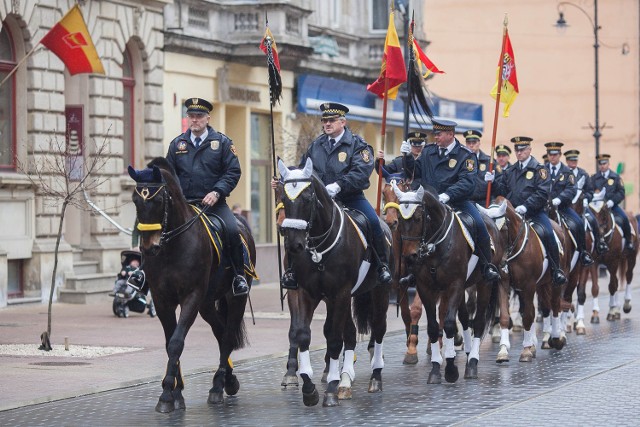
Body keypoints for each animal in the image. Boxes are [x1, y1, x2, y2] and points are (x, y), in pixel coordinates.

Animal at [128, 158, 255, 414]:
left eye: (158, 200)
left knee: (227, 335)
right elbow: (169, 342)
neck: (172, 246)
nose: (148, 247)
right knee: (220, 331)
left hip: (235, 298)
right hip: (207, 304)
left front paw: (167, 394)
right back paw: (228, 380)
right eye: (135, 200)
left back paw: (218, 386)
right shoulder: (162, 300)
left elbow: (176, 342)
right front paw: (175, 392)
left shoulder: (191, 297)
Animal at [276, 158, 390, 408]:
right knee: (351, 332)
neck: (318, 249)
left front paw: (329, 389)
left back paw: (375, 378)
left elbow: (335, 339)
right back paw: (345, 381)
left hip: (379, 293)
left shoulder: (340, 292)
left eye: (308, 198)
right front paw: (309, 388)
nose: (294, 245)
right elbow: (302, 334)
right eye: (283, 198)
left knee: (378, 329)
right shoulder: (304, 292)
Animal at [390, 182, 500, 382]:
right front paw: (435, 368)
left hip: (484, 284)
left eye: (418, 218)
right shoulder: (425, 287)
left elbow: (448, 323)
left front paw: (450, 368)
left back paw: (473, 363)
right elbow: (434, 327)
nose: (410, 257)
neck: (435, 247)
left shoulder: (454, 285)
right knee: (464, 318)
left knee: (478, 321)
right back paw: (467, 353)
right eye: (400, 220)